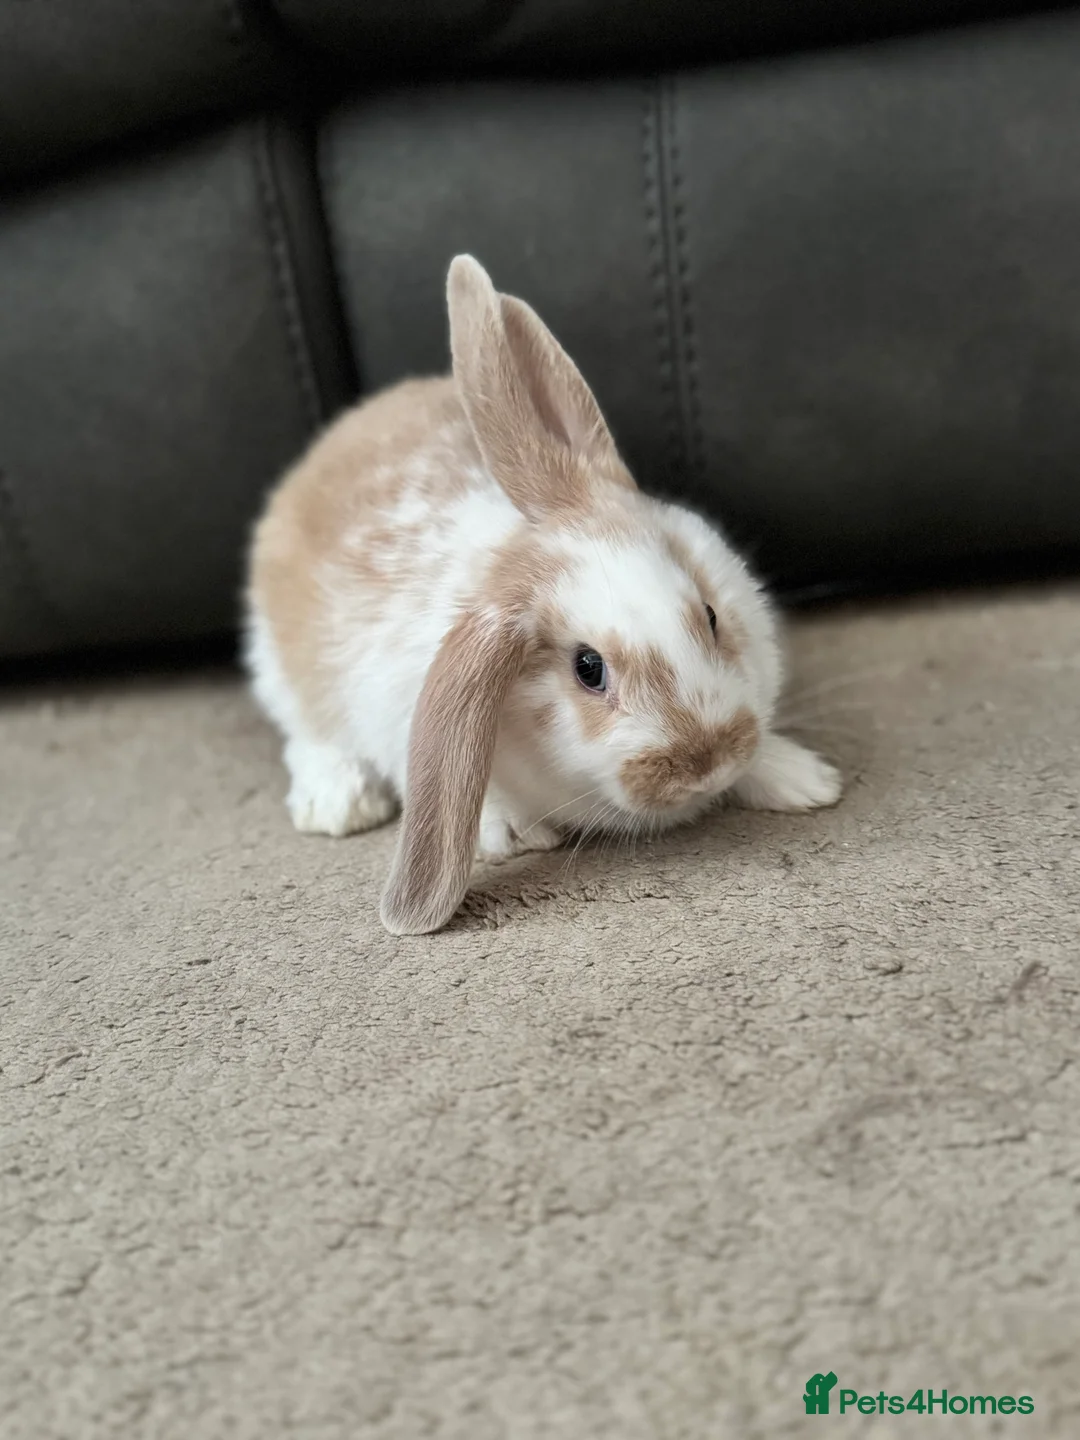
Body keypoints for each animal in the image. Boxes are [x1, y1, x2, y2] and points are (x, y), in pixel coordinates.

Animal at [244, 254, 841, 936]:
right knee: (307, 733)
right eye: (588, 669)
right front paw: (514, 833)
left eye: (712, 615)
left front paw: (807, 780)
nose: (707, 760)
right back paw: (337, 802)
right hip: (277, 667)